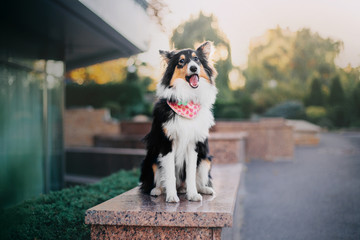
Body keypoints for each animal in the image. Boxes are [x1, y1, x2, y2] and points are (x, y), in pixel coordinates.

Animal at [139, 41, 217, 202]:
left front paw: (192, 194)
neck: (187, 97)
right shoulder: (166, 144)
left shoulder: (193, 145)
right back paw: (157, 190)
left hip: (205, 159)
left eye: (196, 59)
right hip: (151, 158)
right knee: (154, 182)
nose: (193, 68)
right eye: (181, 61)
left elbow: (191, 173)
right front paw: (171, 196)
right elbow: (169, 174)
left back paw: (202, 189)